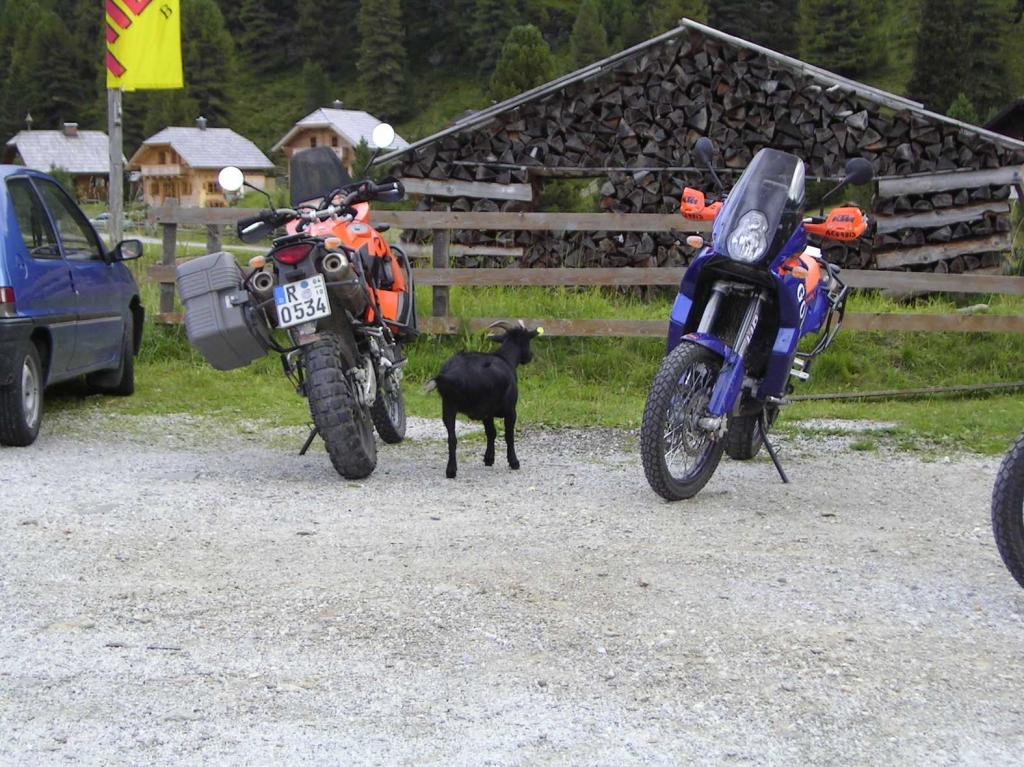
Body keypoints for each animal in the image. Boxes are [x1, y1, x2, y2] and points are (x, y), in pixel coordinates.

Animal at [425, 320, 543, 478]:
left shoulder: (488, 414)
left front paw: (488, 459)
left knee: (452, 438)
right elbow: (508, 435)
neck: (505, 359)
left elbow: (491, 432)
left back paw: (451, 470)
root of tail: (452, 376)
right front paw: (514, 462)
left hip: (448, 406)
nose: (530, 356)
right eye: (527, 340)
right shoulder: (510, 410)